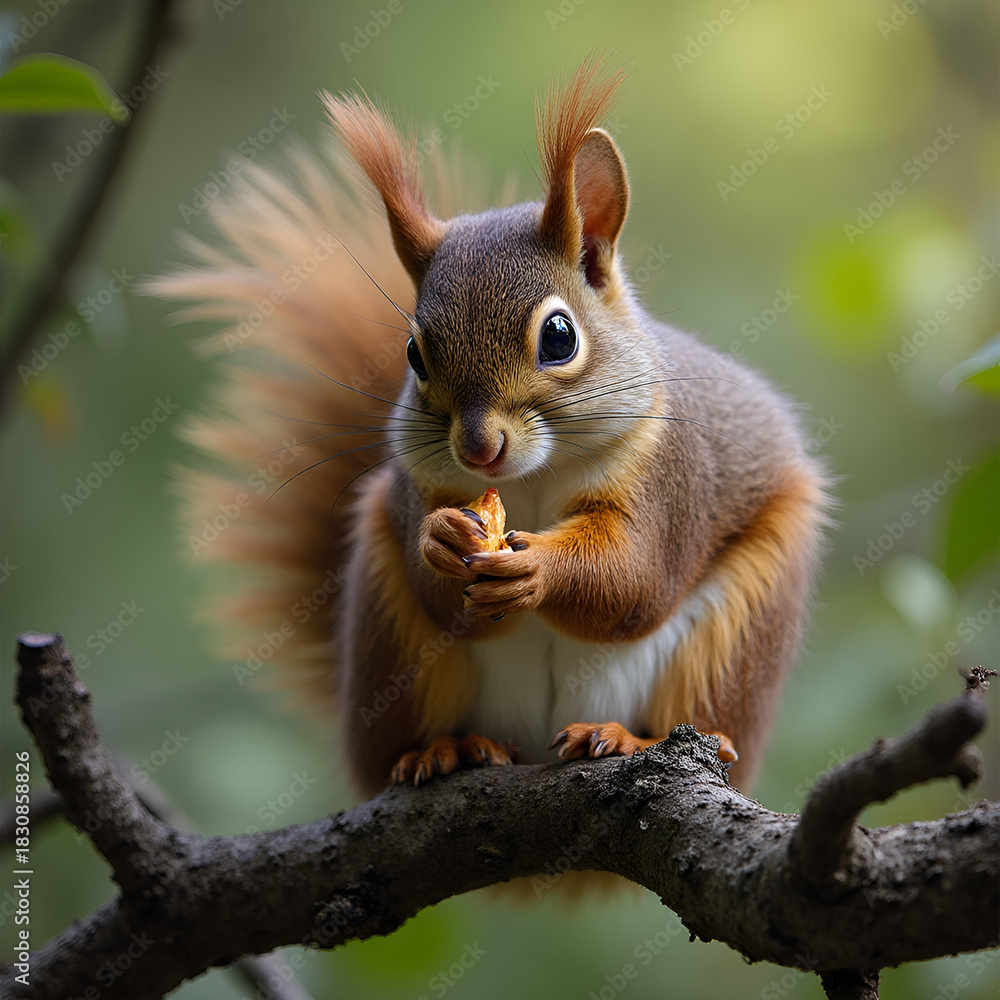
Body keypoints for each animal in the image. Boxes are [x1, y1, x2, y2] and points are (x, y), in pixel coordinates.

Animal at [152, 57, 827, 800]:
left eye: (559, 337)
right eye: (414, 354)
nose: (479, 448)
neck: (533, 476)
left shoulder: (672, 472)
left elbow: (638, 577)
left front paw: (541, 566)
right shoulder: (417, 483)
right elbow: (439, 591)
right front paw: (442, 540)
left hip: (738, 633)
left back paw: (631, 737)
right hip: (389, 630)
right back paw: (448, 748)